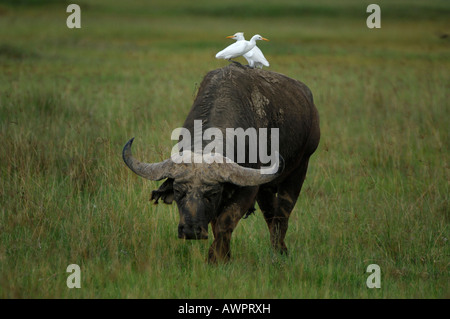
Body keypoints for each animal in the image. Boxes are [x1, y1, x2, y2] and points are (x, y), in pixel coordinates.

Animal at [123, 63, 320, 262]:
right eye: (178, 191)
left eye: (213, 193)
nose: (191, 231)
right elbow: (216, 223)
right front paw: (224, 256)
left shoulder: (247, 190)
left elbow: (225, 223)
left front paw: (215, 257)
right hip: (267, 187)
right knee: (270, 214)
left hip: (300, 168)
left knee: (282, 215)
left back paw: (279, 252)